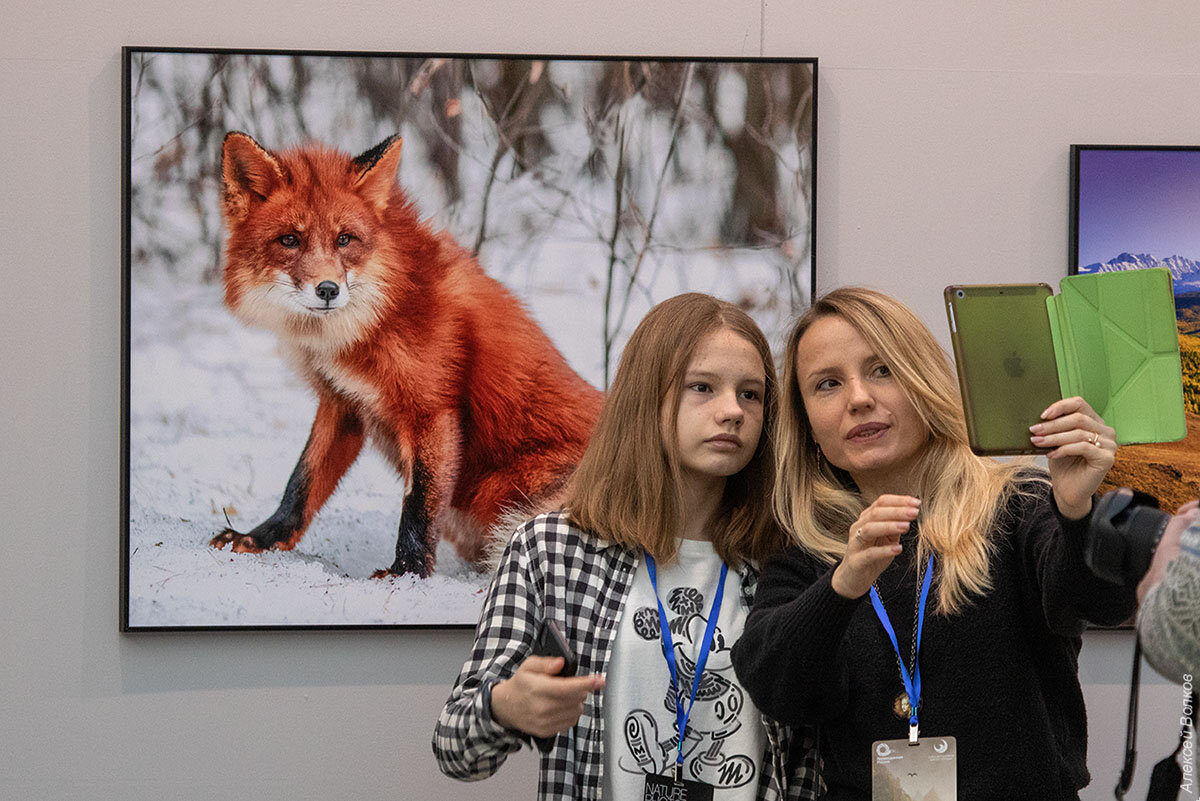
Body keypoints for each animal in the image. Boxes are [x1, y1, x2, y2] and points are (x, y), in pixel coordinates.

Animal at [212, 130, 604, 575]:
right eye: (289, 240)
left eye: (344, 239)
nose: (328, 289)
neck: (376, 318)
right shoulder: (342, 402)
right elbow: (302, 482)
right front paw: (260, 538)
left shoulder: (431, 410)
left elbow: (418, 503)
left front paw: (406, 572)